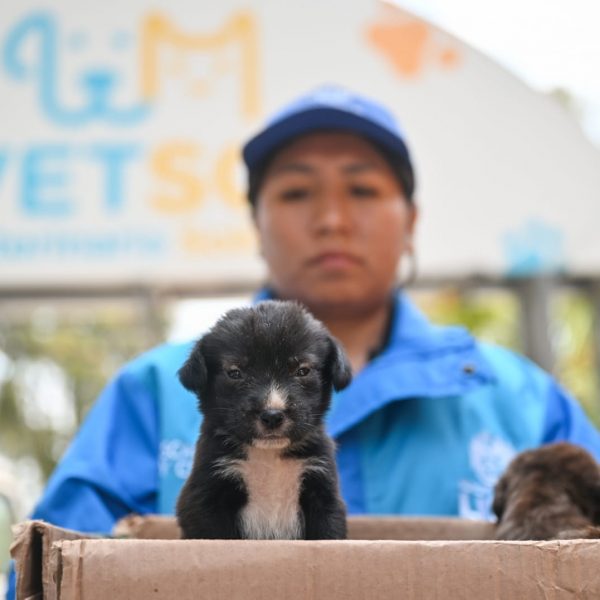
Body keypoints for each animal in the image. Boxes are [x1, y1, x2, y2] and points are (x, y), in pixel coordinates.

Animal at [175, 300, 352, 540]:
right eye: (235, 372)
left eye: (302, 370)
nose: (272, 415)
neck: (269, 456)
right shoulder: (206, 496)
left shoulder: (323, 492)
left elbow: (328, 532)